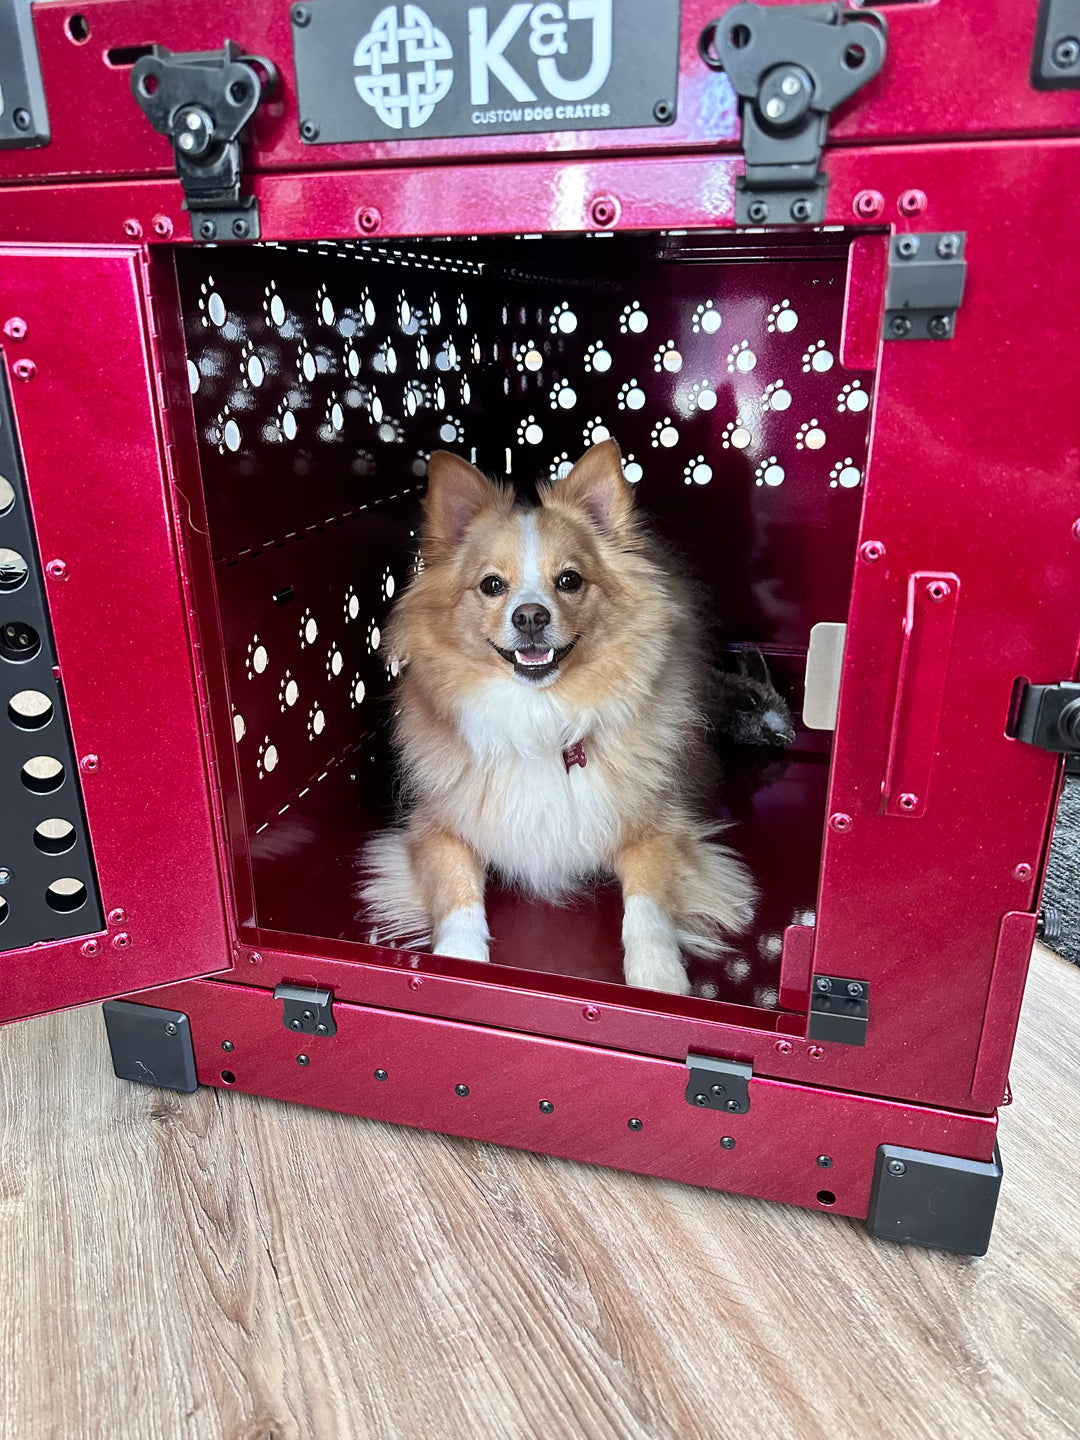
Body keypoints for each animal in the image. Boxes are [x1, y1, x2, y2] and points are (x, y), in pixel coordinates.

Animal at [360, 440, 754, 1002]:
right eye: (491, 585)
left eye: (569, 580)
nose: (530, 616)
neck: (541, 715)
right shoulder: (436, 830)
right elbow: (457, 895)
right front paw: (459, 961)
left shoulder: (661, 831)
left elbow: (648, 909)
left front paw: (658, 975)